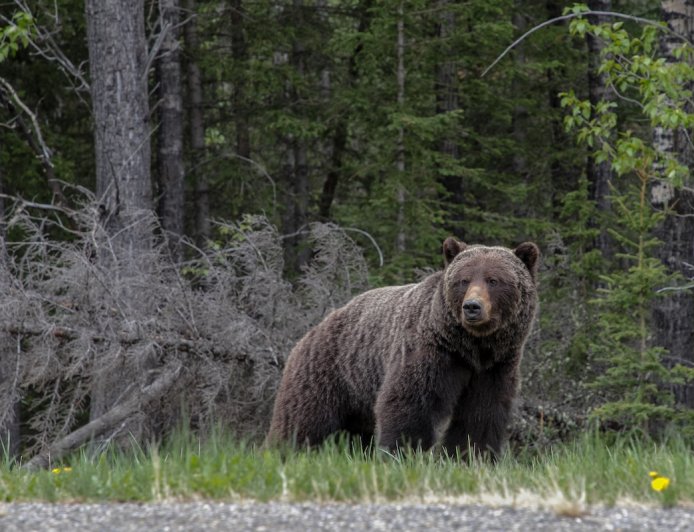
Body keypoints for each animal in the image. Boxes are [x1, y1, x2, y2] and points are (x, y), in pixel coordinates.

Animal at [266, 237, 540, 457]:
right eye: (463, 280)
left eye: (494, 280)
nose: (472, 307)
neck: (472, 347)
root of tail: (311, 331)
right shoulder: (431, 351)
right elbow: (410, 401)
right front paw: (403, 452)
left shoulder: (495, 367)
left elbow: (481, 413)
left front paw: (471, 456)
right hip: (327, 372)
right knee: (302, 420)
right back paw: (283, 452)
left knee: (355, 431)